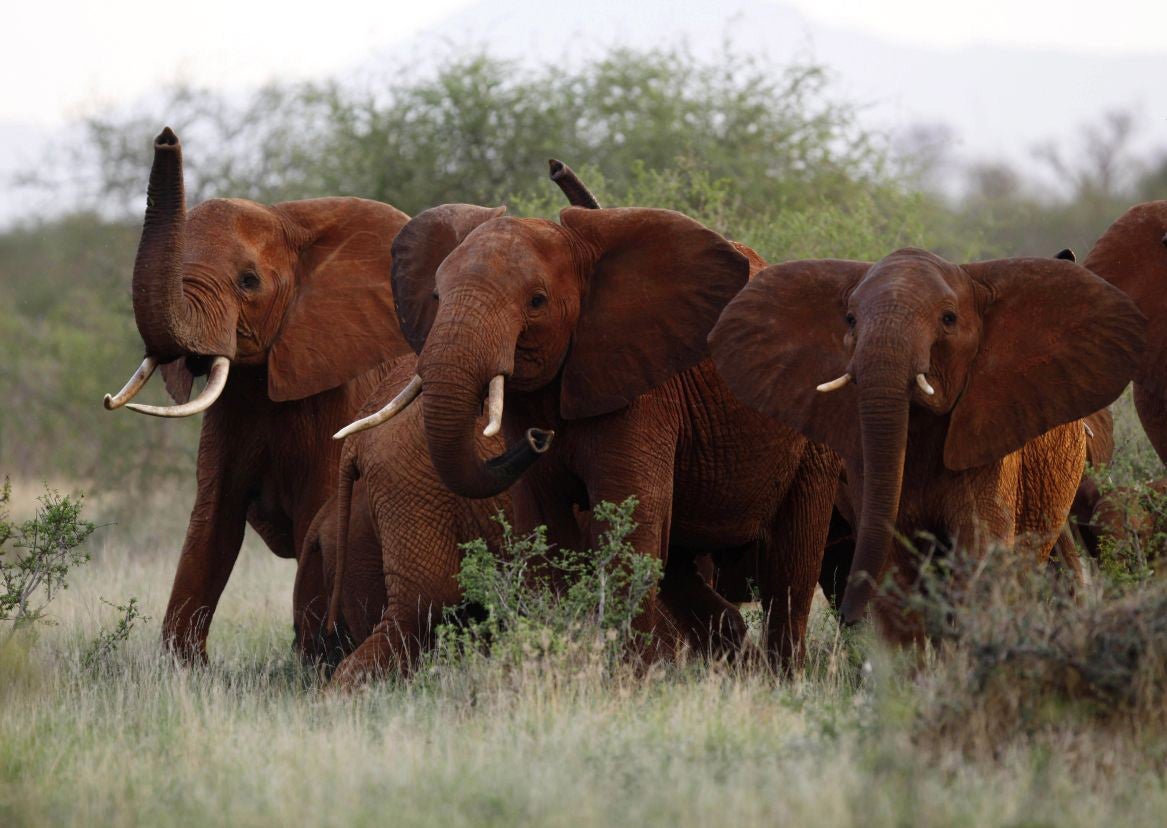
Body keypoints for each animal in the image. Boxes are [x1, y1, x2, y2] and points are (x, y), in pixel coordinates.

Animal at [102, 127, 413, 663]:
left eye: (249, 282)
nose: (166, 136)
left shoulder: (339, 394)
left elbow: (317, 516)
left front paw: (311, 662)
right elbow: (212, 522)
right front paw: (184, 669)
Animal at [340, 201, 842, 666]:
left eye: (537, 301)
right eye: (436, 296)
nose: (538, 439)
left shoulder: (642, 391)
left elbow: (629, 527)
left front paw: (632, 680)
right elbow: (545, 532)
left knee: (791, 570)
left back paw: (781, 676)